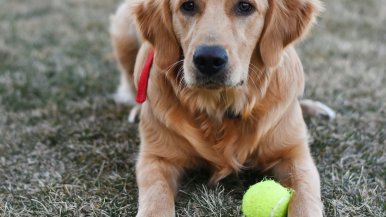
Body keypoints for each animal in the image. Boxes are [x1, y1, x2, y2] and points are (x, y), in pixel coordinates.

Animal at [111, 0, 334, 216]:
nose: (208, 59)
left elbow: (305, 200)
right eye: (188, 5)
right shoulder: (156, 158)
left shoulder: (295, 155)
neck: (219, 109)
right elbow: (156, 199)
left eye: (245, 6)